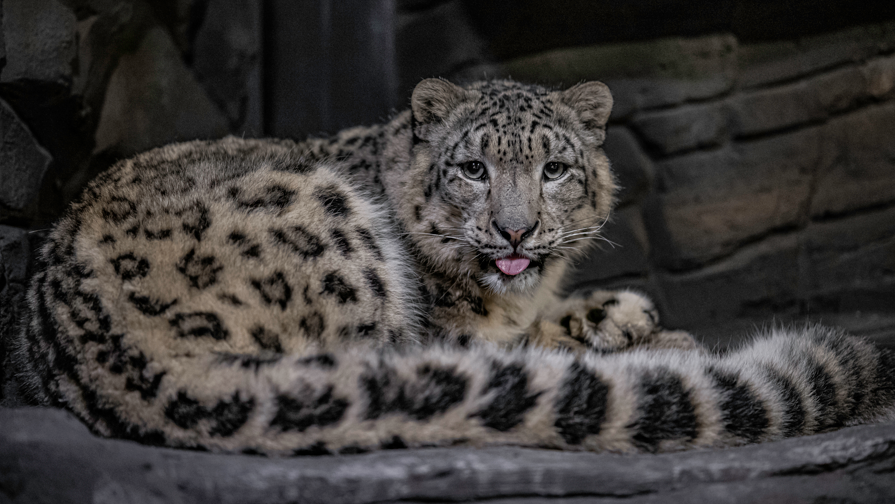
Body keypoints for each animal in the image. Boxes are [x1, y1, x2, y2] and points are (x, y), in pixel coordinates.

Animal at [12, 79, 895, 456]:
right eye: (472, 168)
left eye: (553, 168)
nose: (514, 230)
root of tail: (123, 352)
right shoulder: (457, 320)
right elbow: (501, 341)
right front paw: (638, 327)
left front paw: (616, 309)